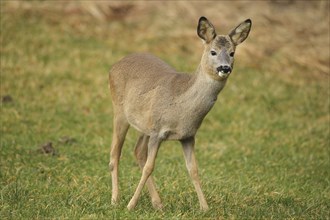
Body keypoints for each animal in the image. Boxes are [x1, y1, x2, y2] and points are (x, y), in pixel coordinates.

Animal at [107, 16, 250, 211]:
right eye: (213, 52)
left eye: (232, 53)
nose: (225, 68)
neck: (181, 110)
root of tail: (115, 65)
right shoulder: (158, 132)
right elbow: (150, 167)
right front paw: (130, 205)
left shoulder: (188, 136)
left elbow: (193, 170)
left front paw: (204, 207)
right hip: (119, 110)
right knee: (115, 154)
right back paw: (115, 199)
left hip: (145, 124)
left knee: (138, 152)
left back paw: (158, 203)